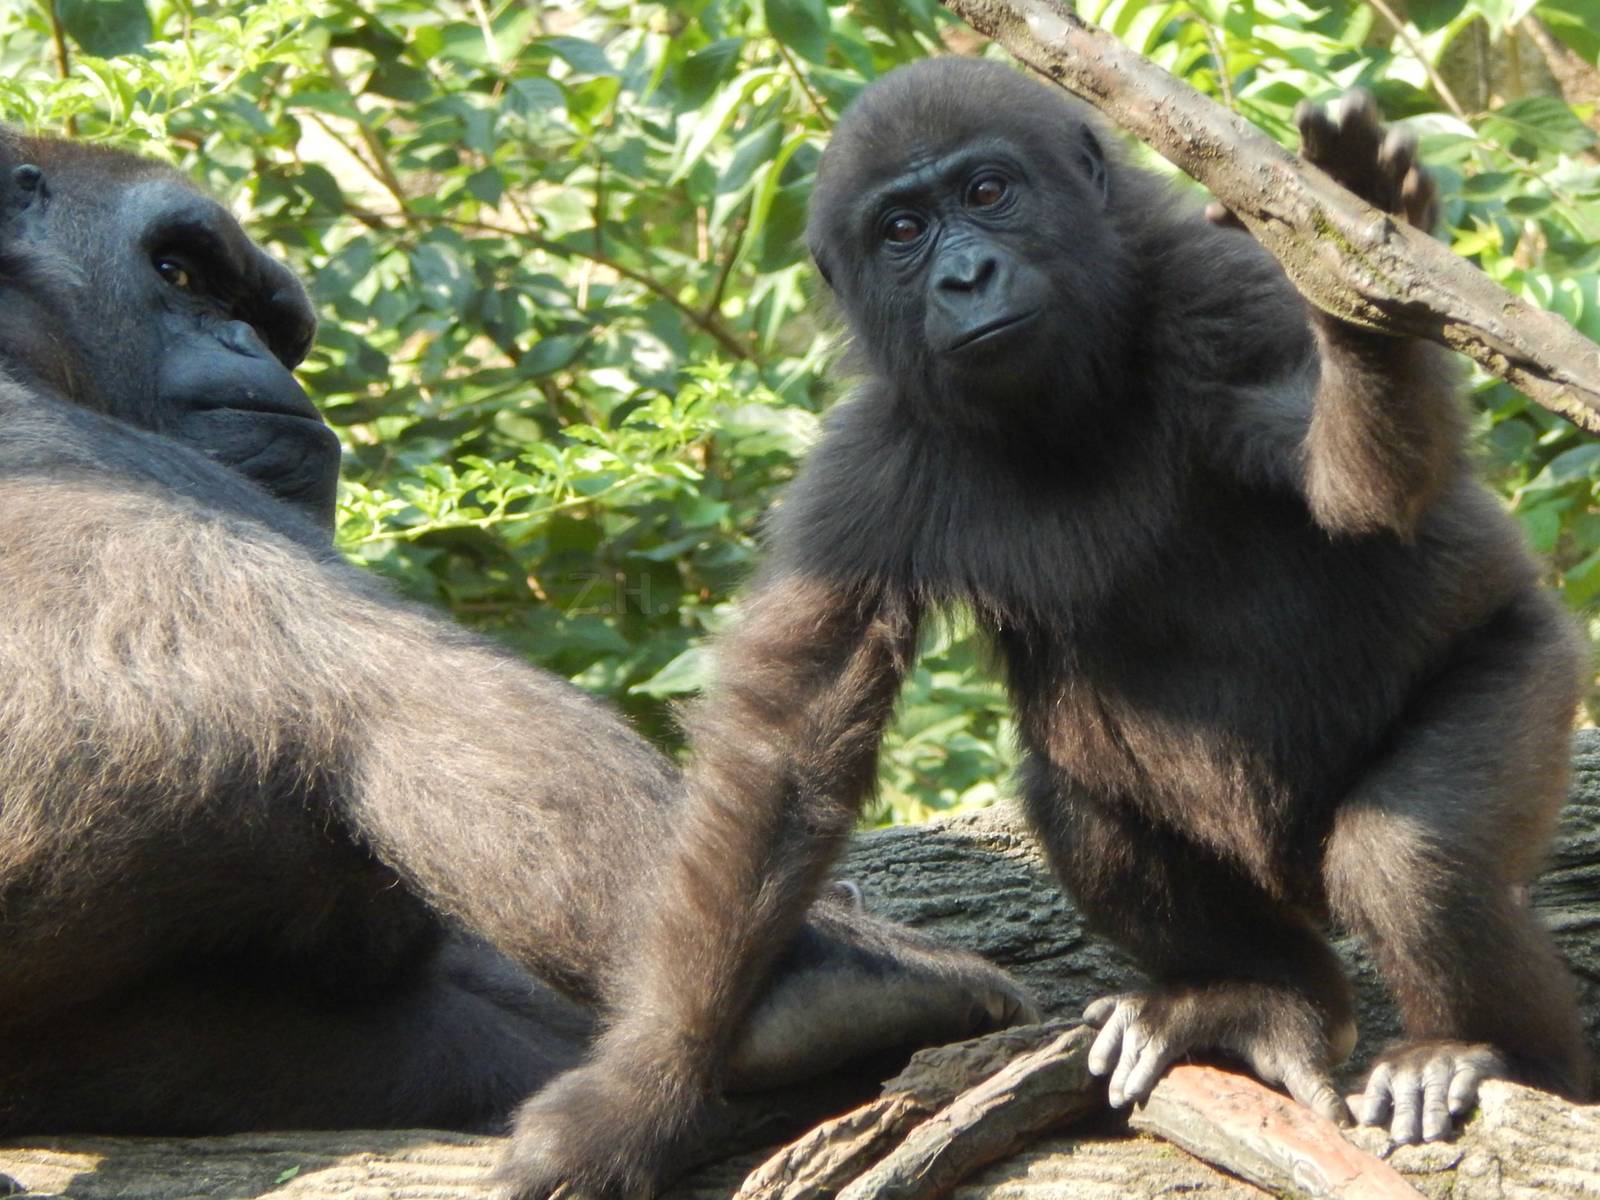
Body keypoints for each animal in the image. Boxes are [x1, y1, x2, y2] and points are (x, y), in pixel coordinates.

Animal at [499, 58, 1591, 1199]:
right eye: (901, 230)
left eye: (988, 193)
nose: (965, 276)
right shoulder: (864, 470)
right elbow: (784, 757)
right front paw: (649, 1087)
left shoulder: (1225, 294)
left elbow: (1359, 492)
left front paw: (1365, 297)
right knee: (1079, 802)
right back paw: (1257, 993)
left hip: (1531, 658)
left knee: (1411, 860)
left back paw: (1479, 1051)